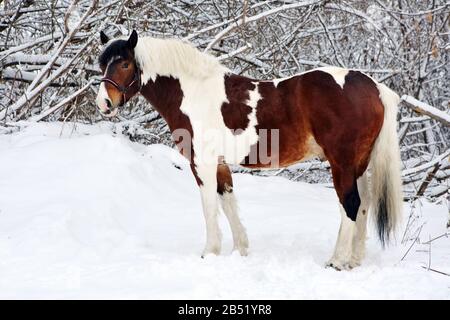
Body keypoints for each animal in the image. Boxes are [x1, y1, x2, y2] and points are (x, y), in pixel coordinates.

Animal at [96, 29, 404, 270]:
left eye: (125, 64)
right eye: (103, 64)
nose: (104, 104)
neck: (194, 92)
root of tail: (375, 87)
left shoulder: (202, 163)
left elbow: (209, 206)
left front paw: (209, 253)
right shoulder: (219, 163)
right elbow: (227, 201)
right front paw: (240, 250)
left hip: (341, 162)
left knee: (349, 204)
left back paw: (337, 261)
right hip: (359, 164)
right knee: (363, 205)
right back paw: (354, 259)